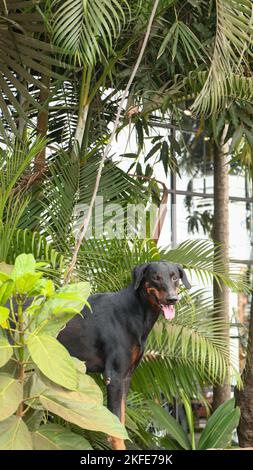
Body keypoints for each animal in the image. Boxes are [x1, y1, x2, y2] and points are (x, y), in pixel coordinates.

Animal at [57, 262, 190, 450]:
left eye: (175, 277)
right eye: (155, 277)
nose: (172, 299)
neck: (136, 311)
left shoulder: (126, 377)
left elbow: (121, 421)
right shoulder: (114, 376)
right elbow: (116, 430)